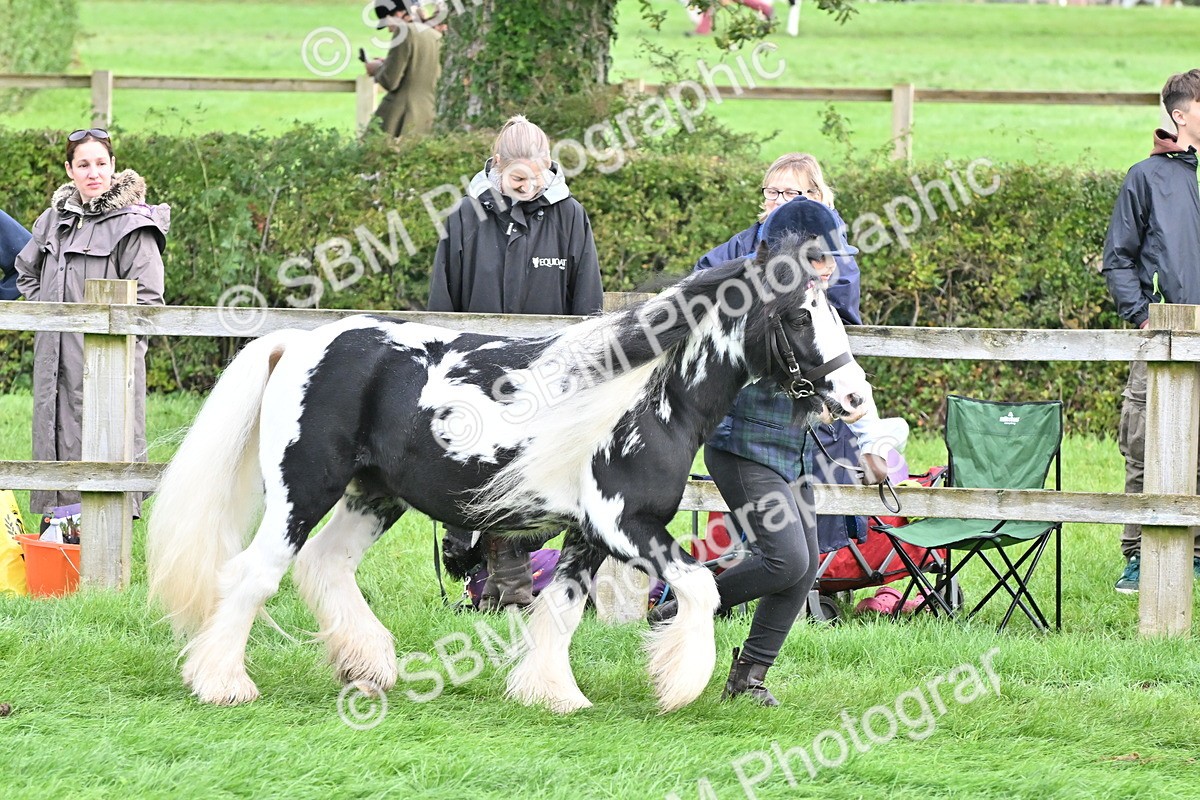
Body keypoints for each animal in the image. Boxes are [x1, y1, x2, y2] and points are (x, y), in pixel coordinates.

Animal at [146, 234, 875, 714]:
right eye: (799, 313)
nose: (854, 397)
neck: (648, 396)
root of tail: (299, 343)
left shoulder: (589, 534)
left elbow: (562, 608)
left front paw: (552, 694)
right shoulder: (627, 524)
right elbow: (701, 587)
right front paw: (678, 684)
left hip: (375, 497)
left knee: (325, 565)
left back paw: (368, 667)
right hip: (304, 491)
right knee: (255, 573)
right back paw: (223, 684)